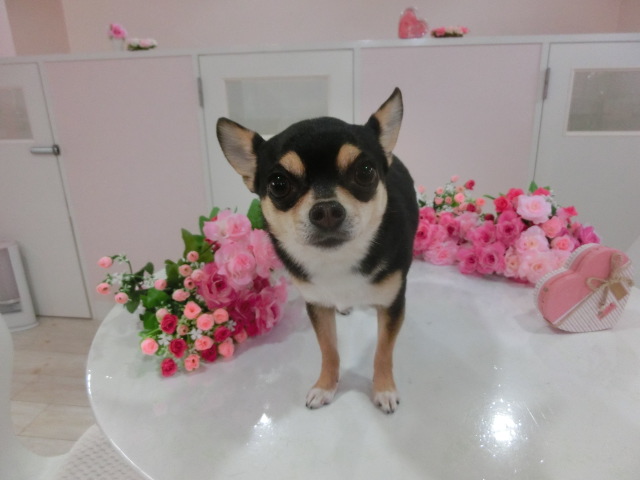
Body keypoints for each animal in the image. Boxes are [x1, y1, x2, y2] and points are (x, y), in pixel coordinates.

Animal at [216, 88, 418, 413]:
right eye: (278, 184)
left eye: (365, 172)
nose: (326, 211)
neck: (336, 262)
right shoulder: (317, 304)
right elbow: (328, 349)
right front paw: (325, 386)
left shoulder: (392, 305)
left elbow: (383, 351)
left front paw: (384, 388)